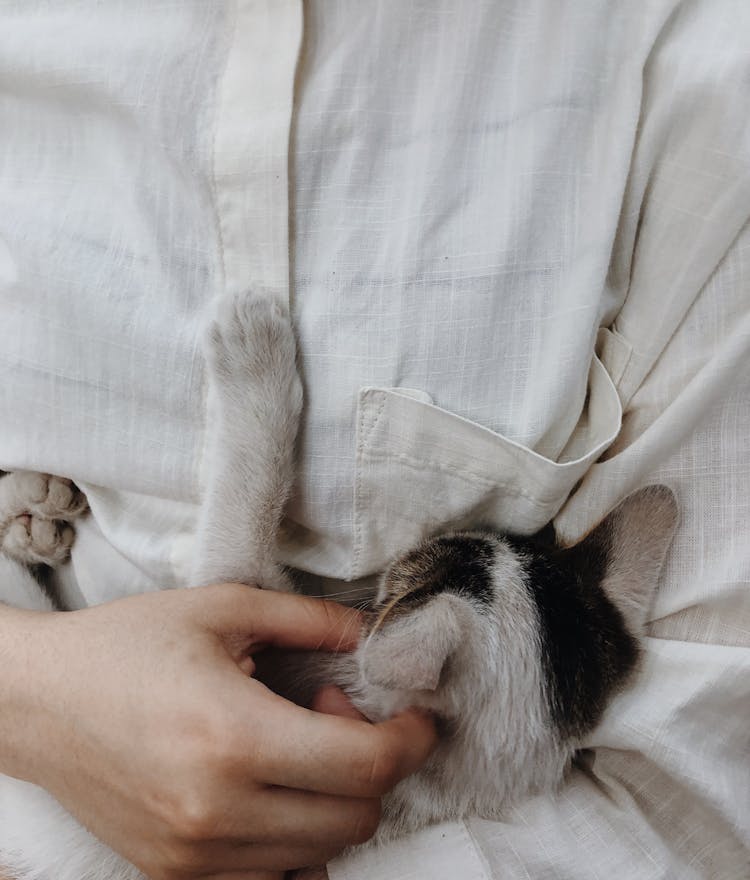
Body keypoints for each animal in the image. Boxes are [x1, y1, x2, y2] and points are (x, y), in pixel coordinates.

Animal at [0, 292, 680, 876]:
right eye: (503, 540)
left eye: (429, 558)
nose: (463, 525)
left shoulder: (233, 581)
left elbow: (248, 496)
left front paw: (255, 350)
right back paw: (35, 507)